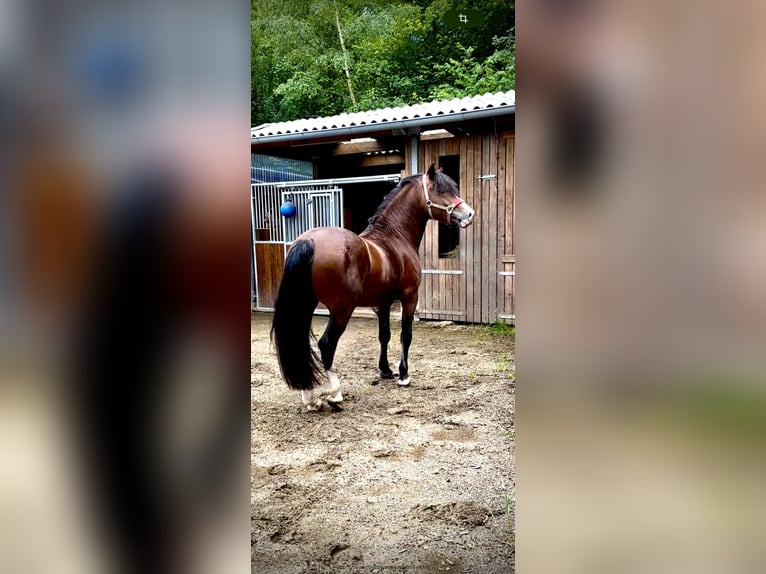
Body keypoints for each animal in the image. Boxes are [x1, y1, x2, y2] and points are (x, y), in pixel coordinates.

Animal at [270, 164, 474, 412]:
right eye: (441, 190)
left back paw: (311, 398)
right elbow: (406, 335)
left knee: (299, 345)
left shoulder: (383, 303)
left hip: (305, 304)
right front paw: (403, 375)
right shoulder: (409, 298)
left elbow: (384, 335)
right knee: (326, 345)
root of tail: (307, 241)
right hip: (342, 310)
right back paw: (335, 395)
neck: (394, 238)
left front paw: (385, 370)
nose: (469, 214)